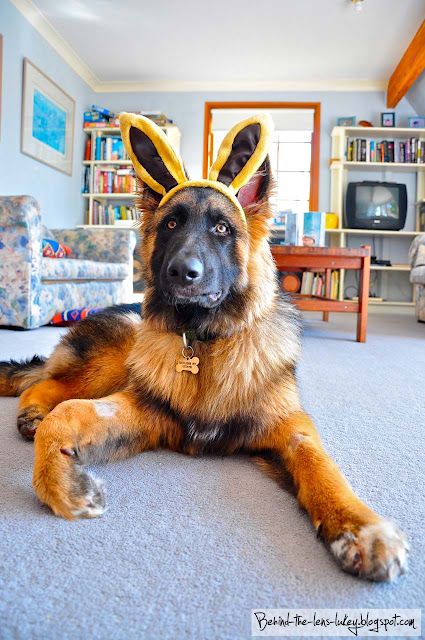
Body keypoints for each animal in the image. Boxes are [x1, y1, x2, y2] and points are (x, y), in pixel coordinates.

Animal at [0, 114, 408, 580]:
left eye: (221, 229)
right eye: (171, 225)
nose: (182, 273)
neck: (206, 342)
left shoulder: (289, 425)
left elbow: (321, 467)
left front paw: (359, 526)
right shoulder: (144, 407)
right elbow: (67, 413)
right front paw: (59, 483)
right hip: (114, 356)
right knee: (48, 385)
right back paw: (33, 412)